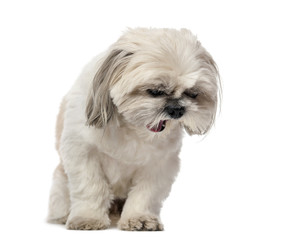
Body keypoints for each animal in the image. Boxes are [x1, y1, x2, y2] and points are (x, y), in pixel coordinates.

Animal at [47, 28, 221, 231]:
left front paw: (140, 219)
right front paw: (88, 218)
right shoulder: (82, 154)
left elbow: (145, 194)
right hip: (60, 182)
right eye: (155, 91)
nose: (177, 109)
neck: (132, 128)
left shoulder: (159, 165)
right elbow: (91, 188)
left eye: (192, 94)